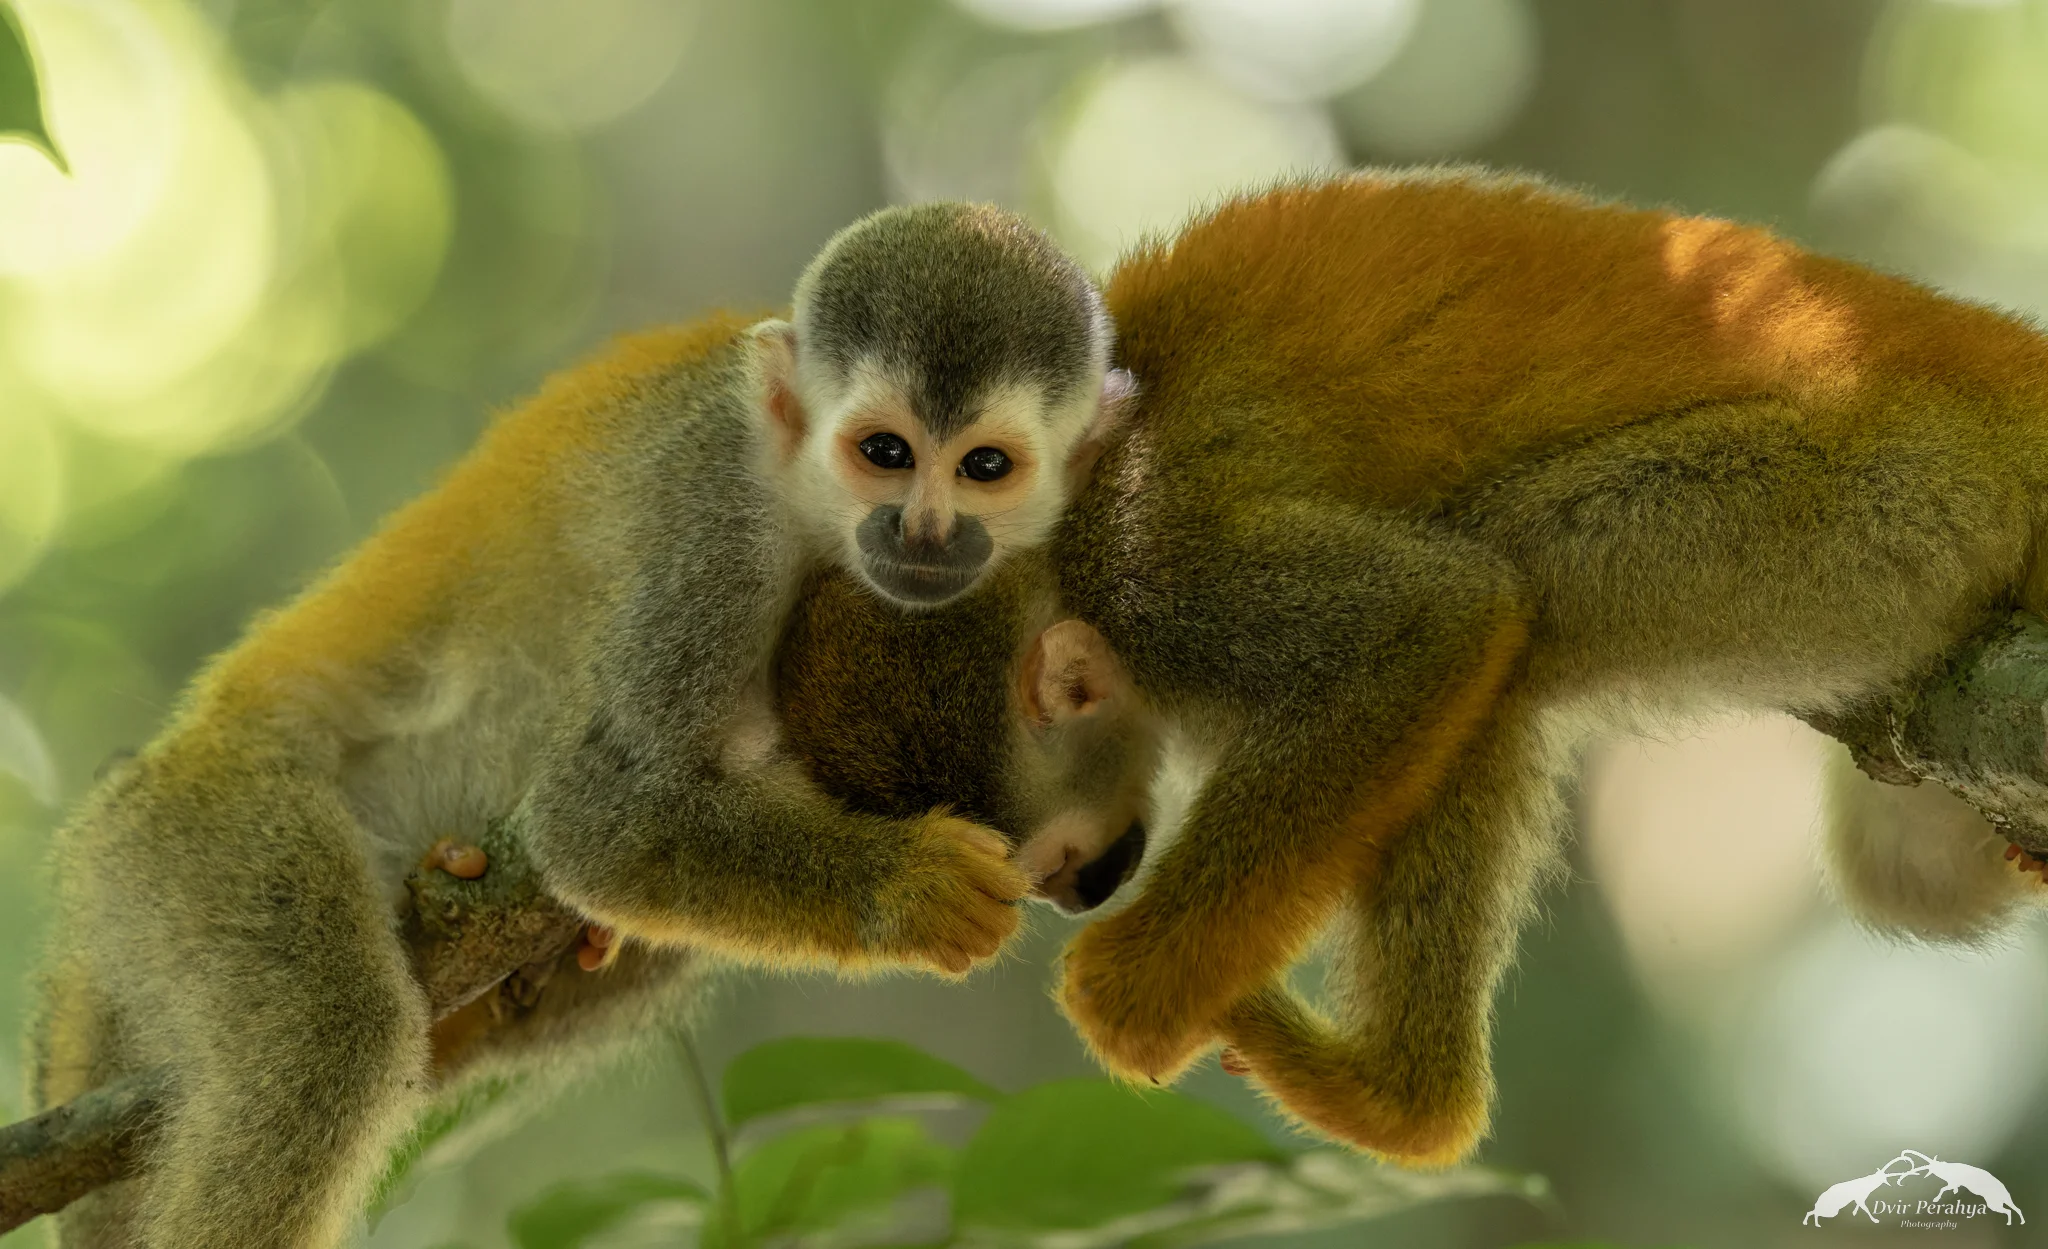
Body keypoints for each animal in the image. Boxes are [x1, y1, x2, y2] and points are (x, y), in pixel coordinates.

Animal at [25, 201, 1129, 1248]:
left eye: (984, 466)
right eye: (885, 453)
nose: (924, 530)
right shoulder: (716, 520)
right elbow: (596, 818)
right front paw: (909, 885)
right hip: (195, 829)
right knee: (324, 1031)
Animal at [767, 168, 2048, 1170]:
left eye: (1043, 860)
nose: (1076, 892)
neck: (1059, 527)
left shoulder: (1153, 564)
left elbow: (1427, 621)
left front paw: (1128, 995)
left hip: (1873, 503)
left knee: (1525, 589)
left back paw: (1397, 1098)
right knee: (1906, 871)